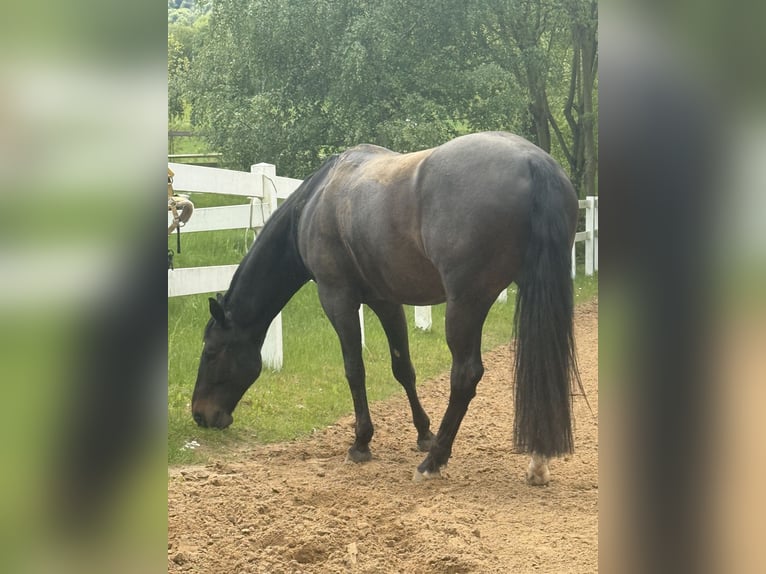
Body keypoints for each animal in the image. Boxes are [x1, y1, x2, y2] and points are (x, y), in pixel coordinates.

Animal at [191, 131, 582, 484]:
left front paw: (361, 443)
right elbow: (403, 367)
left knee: (465, 375)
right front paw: (422, 434)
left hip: (466, 304)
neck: (316, 201)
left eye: (211, 351)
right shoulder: (386, 301)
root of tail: (534, 162)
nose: (200, 415)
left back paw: (434, 462)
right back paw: (536, 463)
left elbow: (354, 369)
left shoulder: (338, 299)